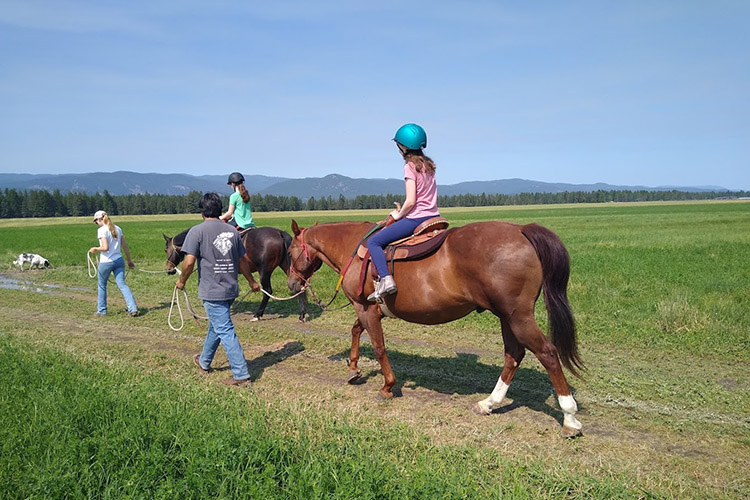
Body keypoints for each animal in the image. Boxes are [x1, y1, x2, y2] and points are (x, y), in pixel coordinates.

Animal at [166, 226, 310, 320]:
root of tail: (279, 233)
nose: (168, 269)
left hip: (264, 271)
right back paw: (302, 314)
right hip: (289, 267)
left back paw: (258, 314)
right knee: (297, 287)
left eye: (165, 249)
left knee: (267, 291)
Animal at [288, 221, 588, 436]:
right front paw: (353, 369)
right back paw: (489, 403)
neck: (355, 247)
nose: (292, 285)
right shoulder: (370, 310)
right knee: (514, 354)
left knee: (547, 353)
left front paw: (387, 386)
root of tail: (520, 230)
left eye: (290, 252)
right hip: (507, 317)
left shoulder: (365, 308)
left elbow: (378, 346)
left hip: (518, 317)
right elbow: (355, 331)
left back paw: (569, 417)